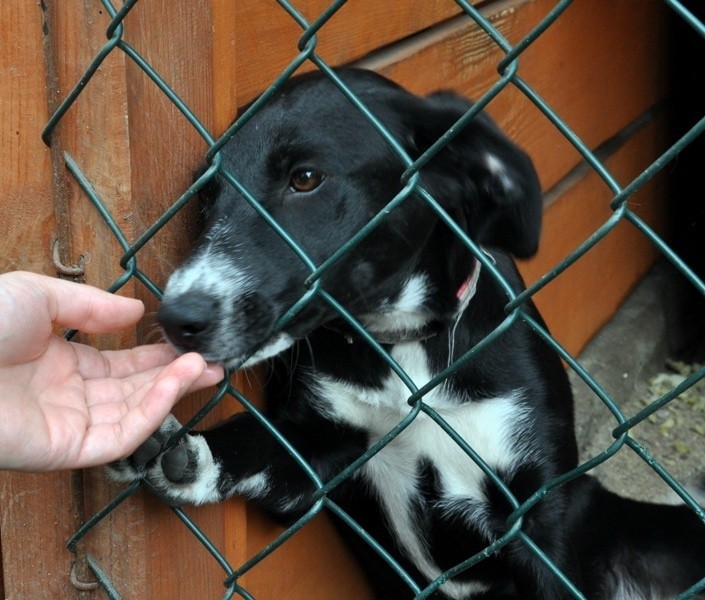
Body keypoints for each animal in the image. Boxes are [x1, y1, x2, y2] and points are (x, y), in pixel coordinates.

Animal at [110, 68, 704, 596]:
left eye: (305, 178)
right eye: (207, 197)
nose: (178, 319)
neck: (402, 347)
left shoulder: (536, 516)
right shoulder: (319, 456)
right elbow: (258, 440)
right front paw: (178, 452)